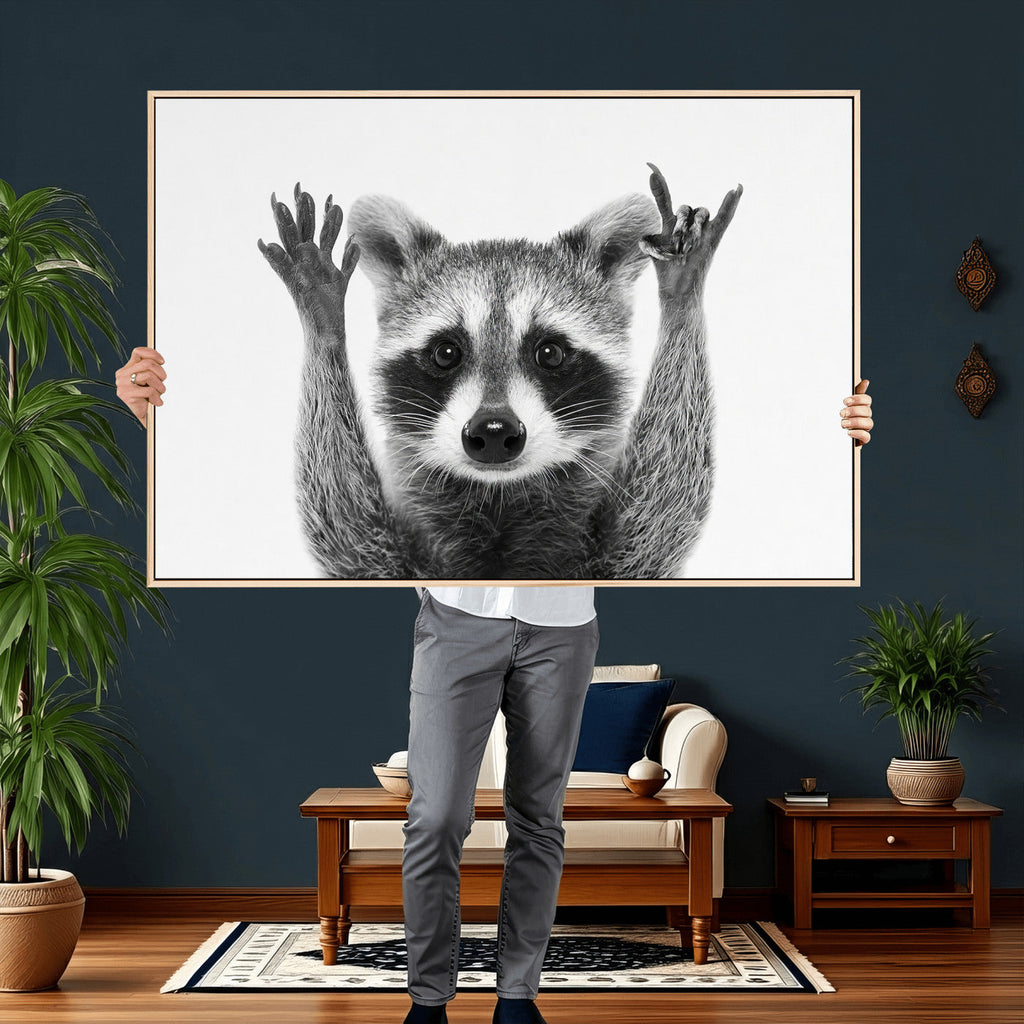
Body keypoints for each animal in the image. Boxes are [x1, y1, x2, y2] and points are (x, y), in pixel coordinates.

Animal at [258, 165, 742, 579]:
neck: (498, 499)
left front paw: (681, 294)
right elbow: (344, 527)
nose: (493, 431)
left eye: (550, 353)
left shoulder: (618, 557)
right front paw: (323, 319)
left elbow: (663, 507)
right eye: (446, 353)